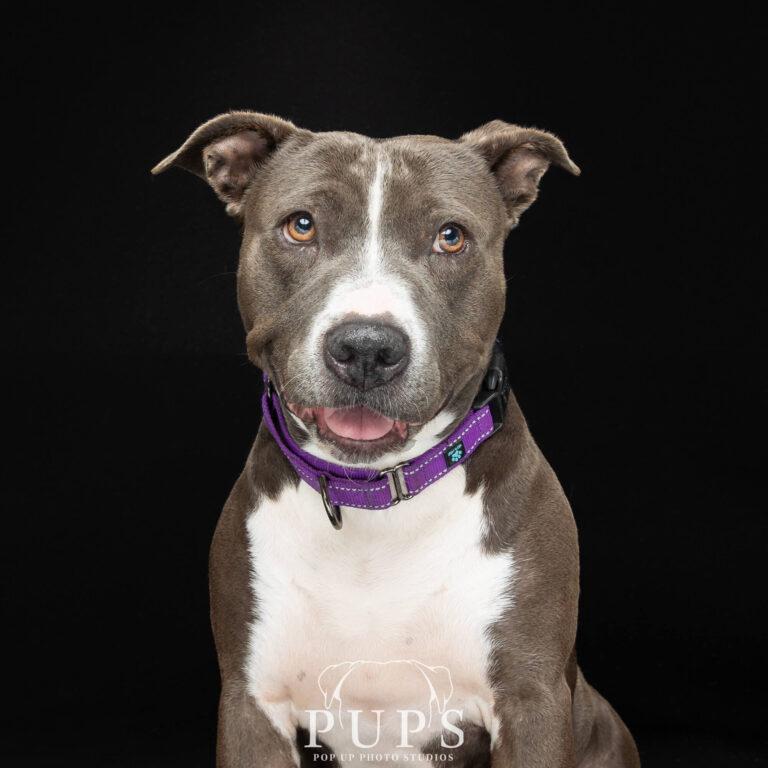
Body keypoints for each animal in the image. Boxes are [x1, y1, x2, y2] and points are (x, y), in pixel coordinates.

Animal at [153, 109, 640, 768]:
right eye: (301, 226)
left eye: (451, 237)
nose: (366, 347)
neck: (375, 503)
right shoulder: (252, 703)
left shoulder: (531, 699)